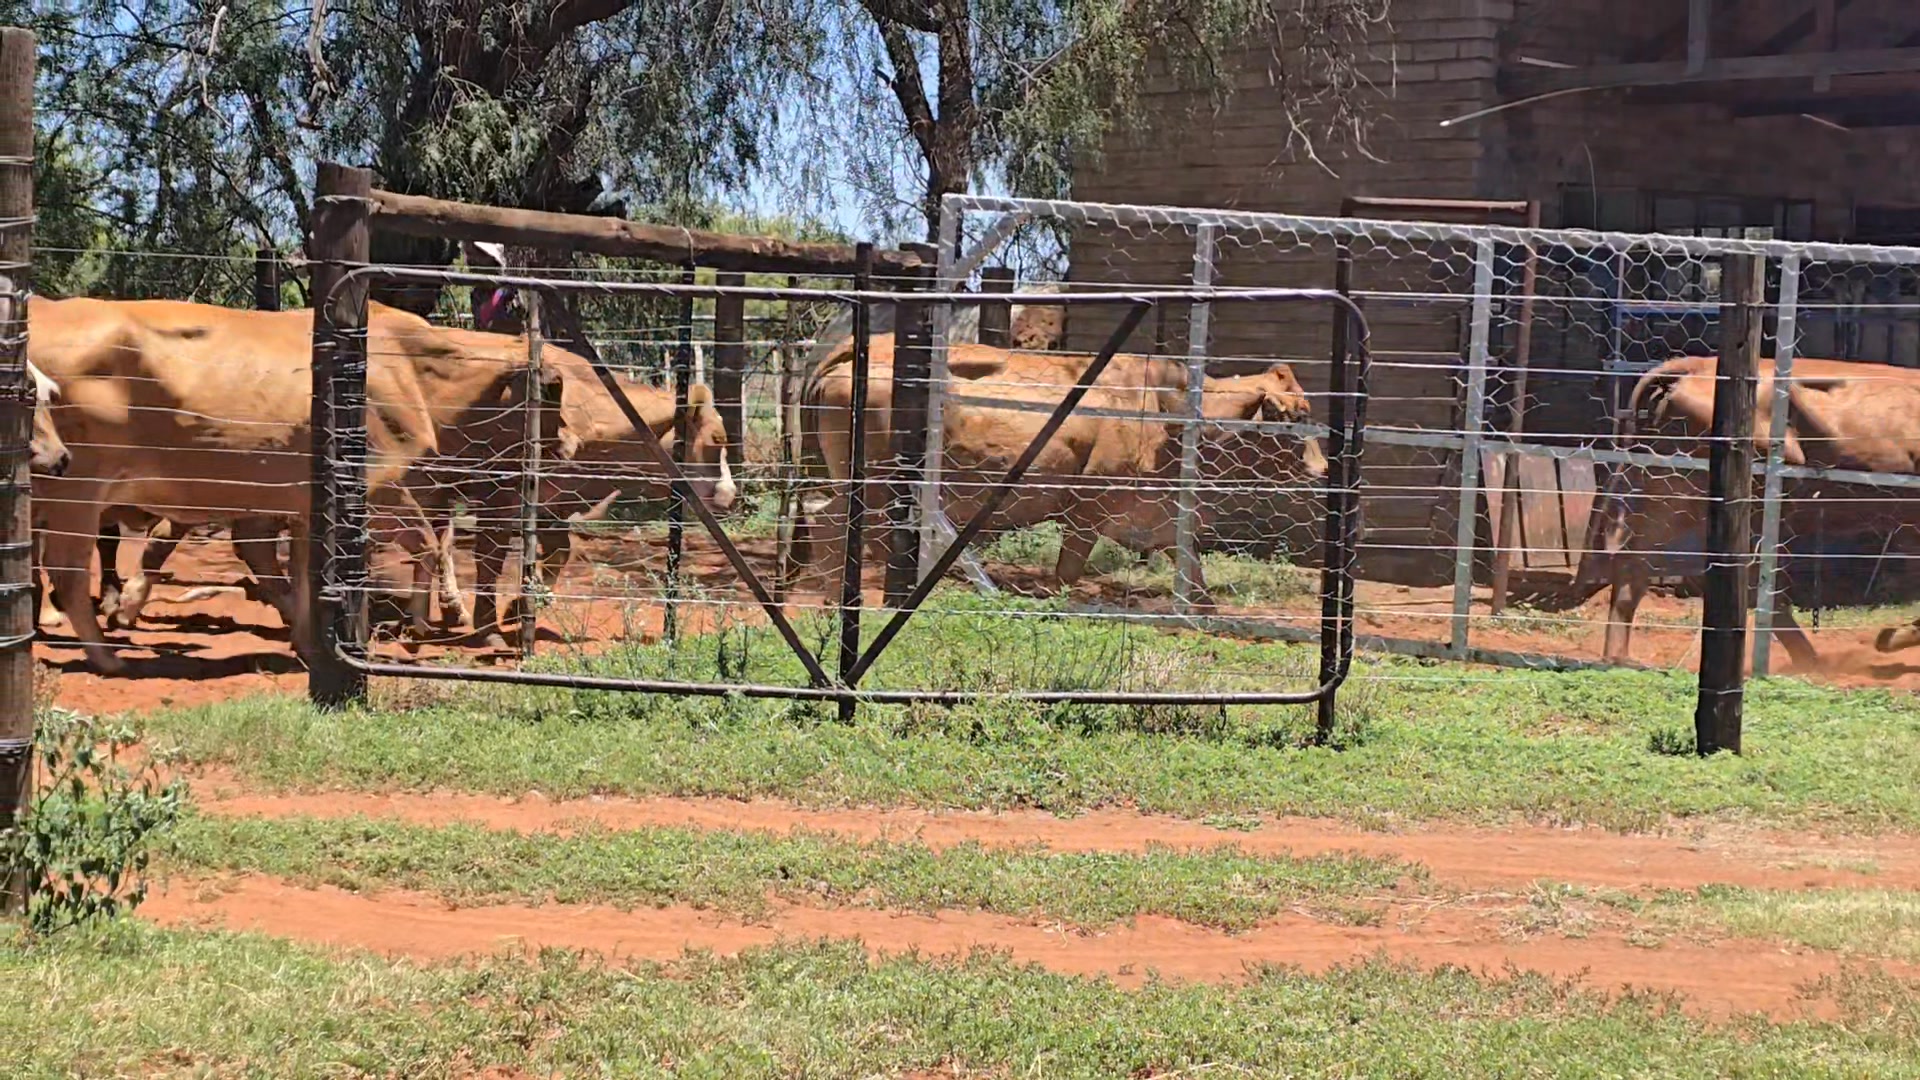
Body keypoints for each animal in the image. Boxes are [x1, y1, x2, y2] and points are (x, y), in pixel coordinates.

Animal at [796, 336, 1326, 601]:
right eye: (1296, 418)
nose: (1323, 469)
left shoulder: (1161, 519)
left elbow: (1197, 581)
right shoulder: (1085, 512)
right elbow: (1068, 574)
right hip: (873, 484)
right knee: (828, 522)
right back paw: (834, 594)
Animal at [1584, 354, 1920, 667]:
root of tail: (1698, 363)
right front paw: (1892, 637)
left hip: (1673, 490)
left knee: (1636, 564)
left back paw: (1617, 656)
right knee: (1748, 575)